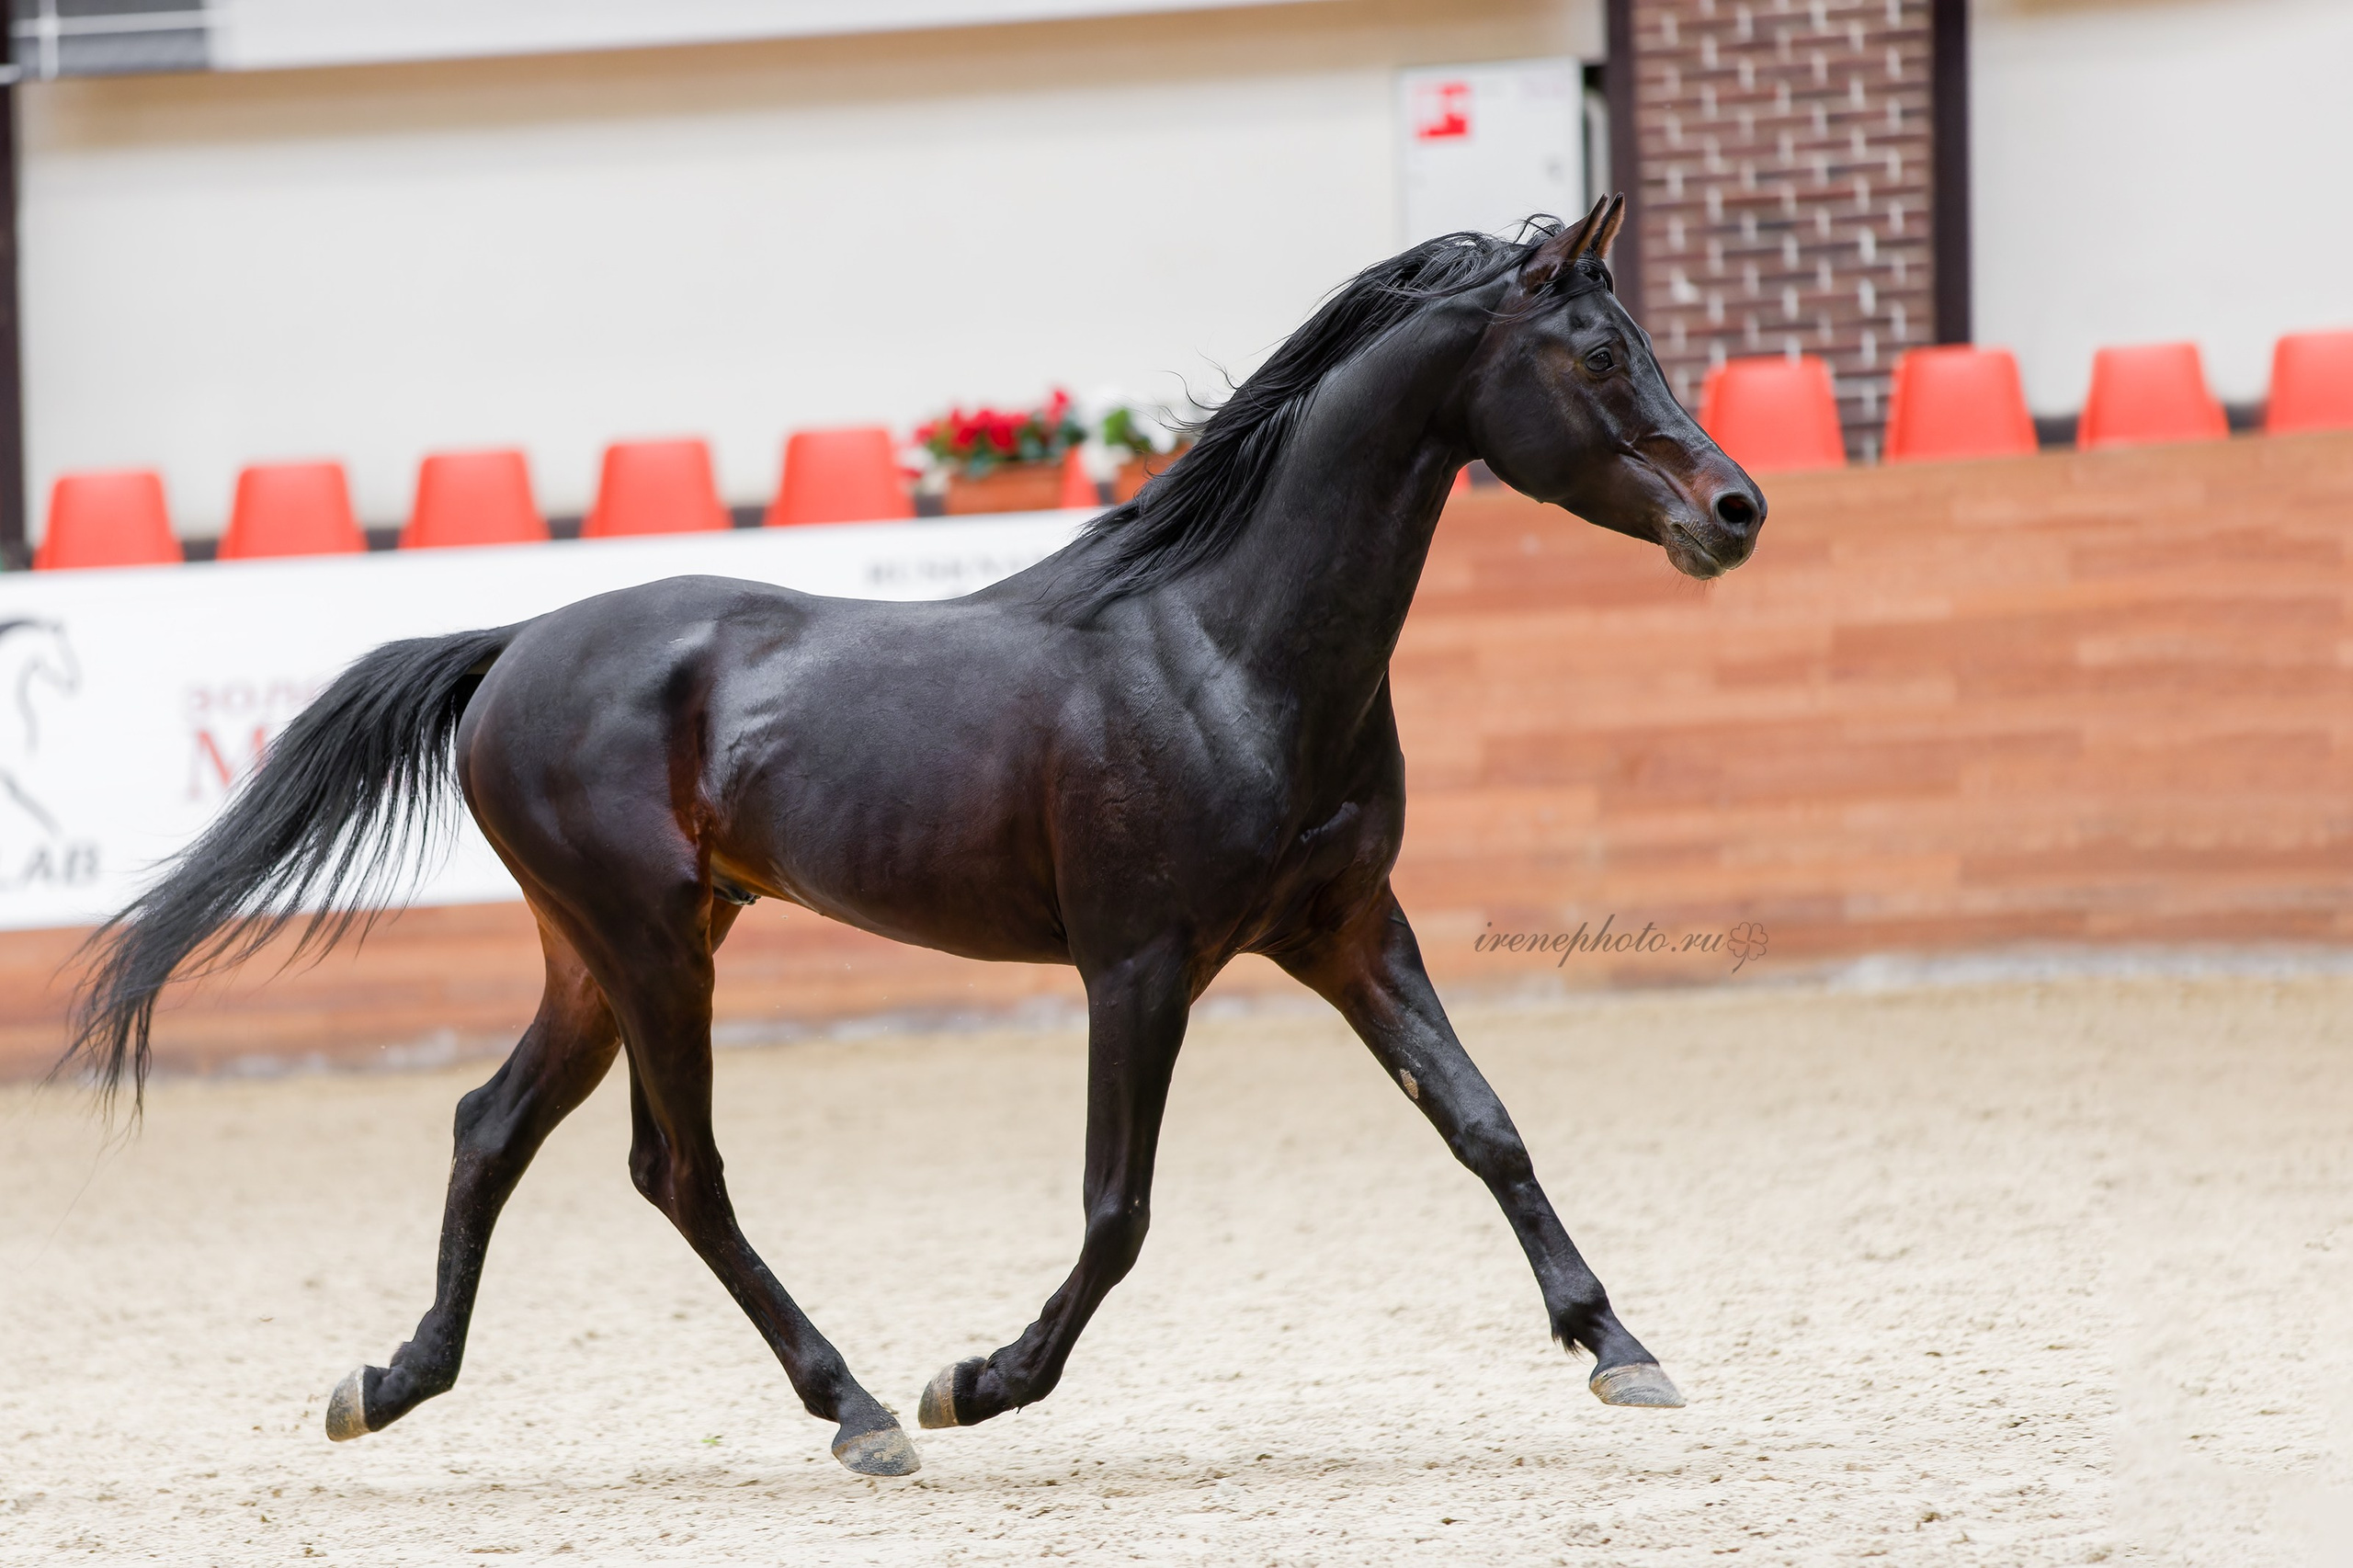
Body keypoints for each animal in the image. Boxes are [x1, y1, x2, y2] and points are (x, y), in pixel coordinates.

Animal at [69, 196, 1764, 1478]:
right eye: (1597, 352)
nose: (1737, 510)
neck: (1227, 649)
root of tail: (513, 649)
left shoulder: (1346, 928)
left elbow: (1484, 1124)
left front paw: (1620, 1348)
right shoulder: (1140, 964)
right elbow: (1118, 1211)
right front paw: (981, 1380)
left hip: (604, 953)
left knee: (492, 1126)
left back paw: (388, 1382)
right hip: (649, 947)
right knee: (679, 1173)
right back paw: (867, 1409)